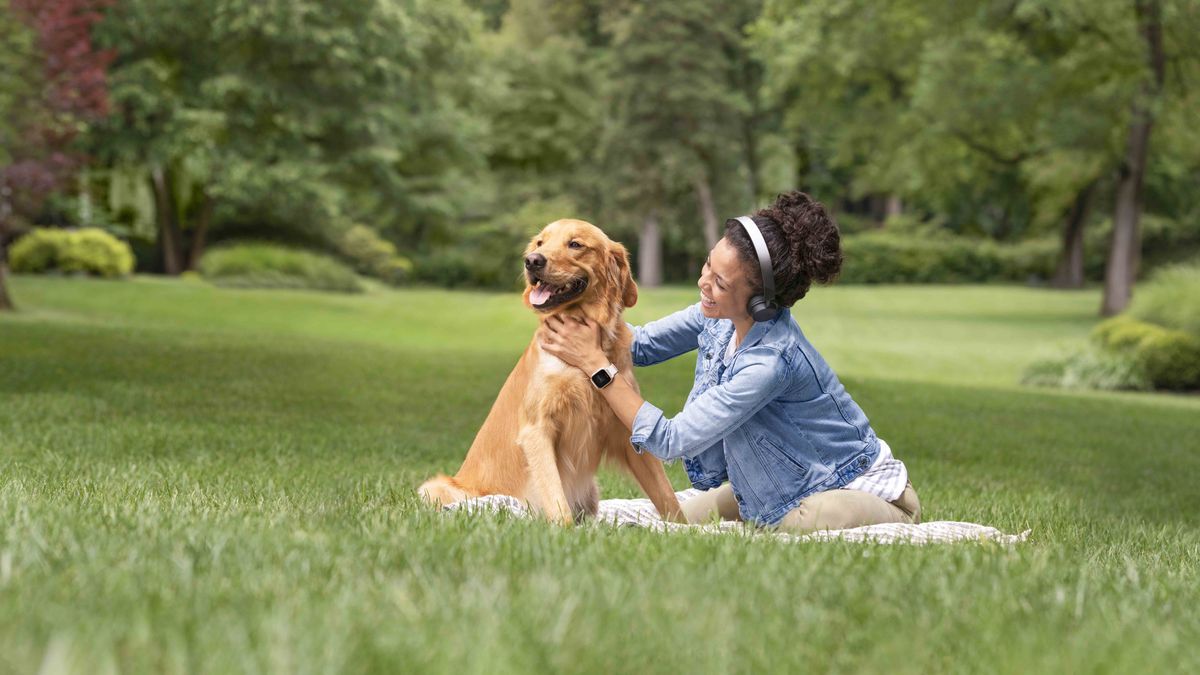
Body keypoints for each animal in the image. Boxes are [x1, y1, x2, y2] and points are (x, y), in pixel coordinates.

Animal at [420, 218, 686, 523]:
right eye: (540, 243)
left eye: (575, 244)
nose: (532, 261)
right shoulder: (538, 429)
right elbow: (556, 498)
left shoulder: (628, 431)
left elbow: (668, 497)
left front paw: (687, 528)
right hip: (436, 488)